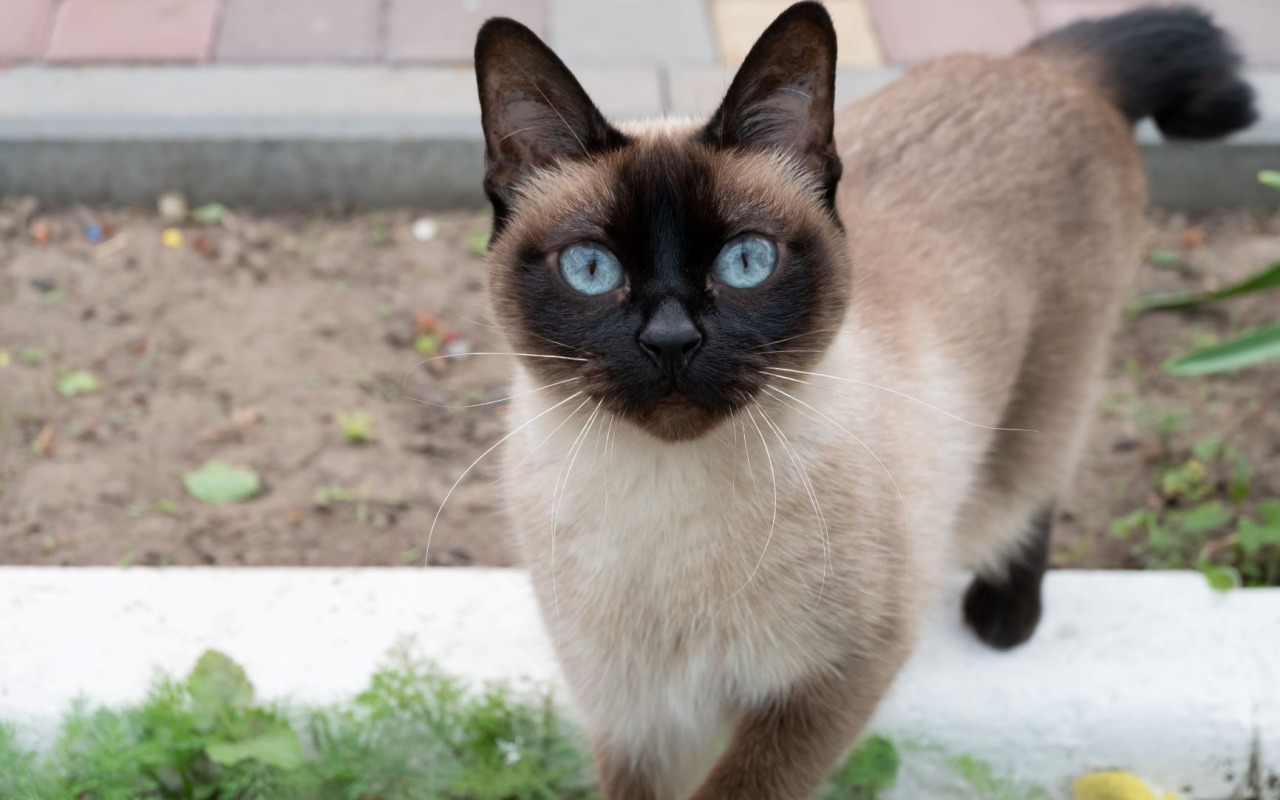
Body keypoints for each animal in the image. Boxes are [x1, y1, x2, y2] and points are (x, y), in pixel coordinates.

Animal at [468, 3, 1249, 793]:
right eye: (591, 268)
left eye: (745, 261)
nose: (670, 340)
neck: (665, 509)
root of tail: (1045, 64)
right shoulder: (637, 717)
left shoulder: (834, 676)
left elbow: (745, 786)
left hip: (1052, 385)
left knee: (1037, 484)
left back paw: (1006, 618)